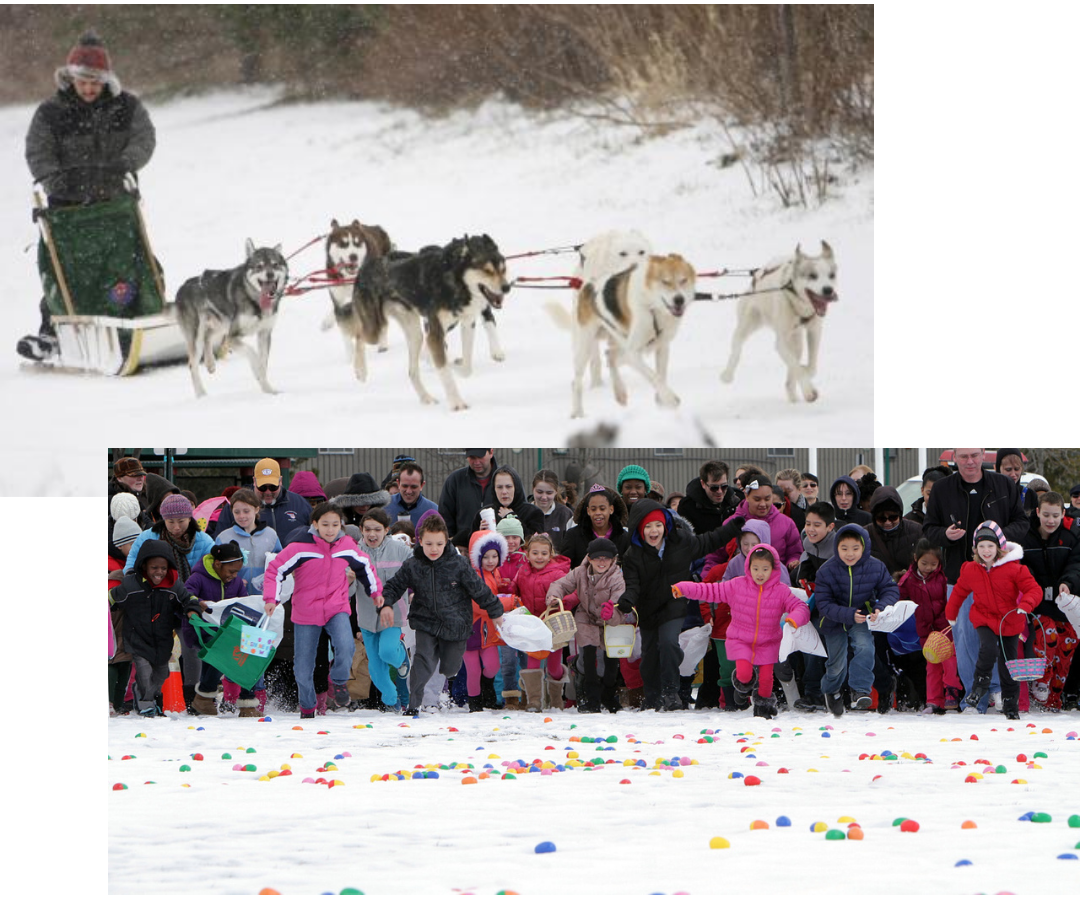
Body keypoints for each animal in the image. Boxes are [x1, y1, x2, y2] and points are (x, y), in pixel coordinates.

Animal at [326, 219, 399, 378]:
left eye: (357, 243)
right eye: (343, 243)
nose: (353, 256)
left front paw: (381, 344)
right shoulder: (338, 302)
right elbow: (345, 332)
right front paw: (350, 358)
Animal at [570, 249, 695, 417]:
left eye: (683, 280)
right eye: (665, 281)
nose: (679, 299)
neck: (652, 306)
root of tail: (588, 285)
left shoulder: (662, 347)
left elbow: (661, 375)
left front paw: (662, 401)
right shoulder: (634, 352)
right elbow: (655, 377)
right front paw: (669, 398)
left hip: (619, 342)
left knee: (610, 356)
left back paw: (620, 392)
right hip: (585, 347)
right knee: (576, 382)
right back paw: (578, 413)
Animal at [721, 241, 838, 404]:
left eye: (831, 275)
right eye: (812, 276)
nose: (828, 290)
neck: (800, 308)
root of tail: (756, 277)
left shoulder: (814, 331)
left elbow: (810, 367)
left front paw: (805, 374)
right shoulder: (781, 343)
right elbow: (797, 367)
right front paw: (809, 390)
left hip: (796, 339)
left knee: (793, 365)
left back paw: (792, 394)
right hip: (747, 324)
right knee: (736, 349)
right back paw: (727, 375)